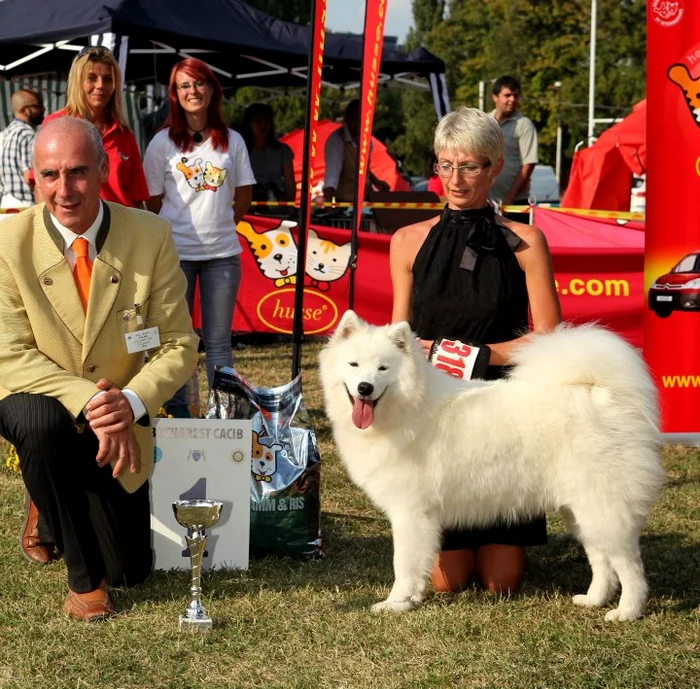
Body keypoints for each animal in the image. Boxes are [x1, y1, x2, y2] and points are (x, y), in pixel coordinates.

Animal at [320, 310, 664, 620]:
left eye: (383, 368)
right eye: (353, 365)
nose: (365, 387)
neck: (407, 409)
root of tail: (598, 392)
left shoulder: (411, 512)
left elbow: (403, 564)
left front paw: (396, 603)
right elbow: (415, 565)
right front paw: (411, 598)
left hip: (601, 506)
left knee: (630, 565)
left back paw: (627, 612)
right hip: (580, 510)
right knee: (601, 558)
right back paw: (593, 600)